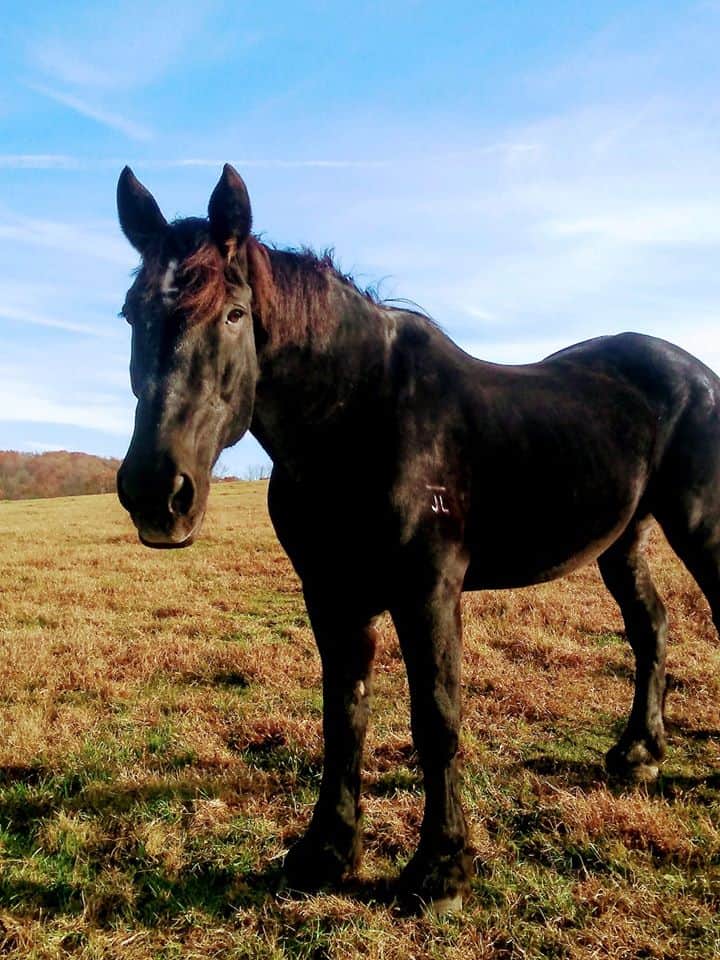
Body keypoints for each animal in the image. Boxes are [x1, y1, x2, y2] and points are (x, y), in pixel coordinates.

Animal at [115, 167, 720, 916]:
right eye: (130, 314)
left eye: (232, 313)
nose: (155, 492)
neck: (358, 418)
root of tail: (695, 373)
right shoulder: (331, 594)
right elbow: (343, 715)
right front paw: (325, 853)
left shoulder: (428, 591)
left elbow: (436, 718)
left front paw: (441, 869)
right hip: (624, 538)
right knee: (651, 627)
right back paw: (638, 754)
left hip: (700, 524)